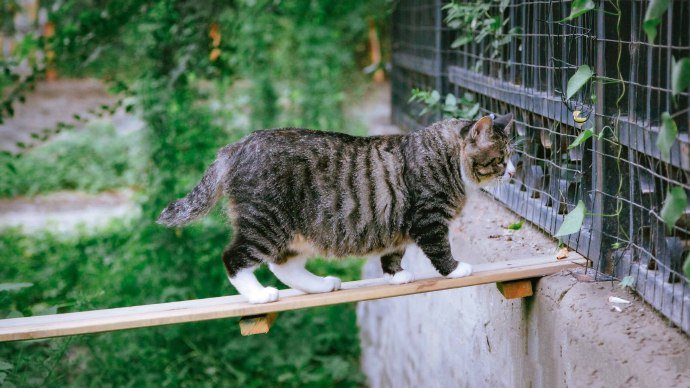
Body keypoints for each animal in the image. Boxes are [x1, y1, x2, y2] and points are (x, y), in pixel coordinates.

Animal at [156, 113, 510, 304]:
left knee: (284, 265)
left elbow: (392, 254)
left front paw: (396, 276)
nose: (513, 171)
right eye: (500, 159)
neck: (446, 158)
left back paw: (322, 285)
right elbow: (439, 250)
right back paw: (259, 295)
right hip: (266, 223)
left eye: (510, 158)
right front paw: (456, 269)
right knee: (235, 258)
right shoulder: (429, 218)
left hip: (293, 231)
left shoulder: (399, 225)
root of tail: (236, 145)